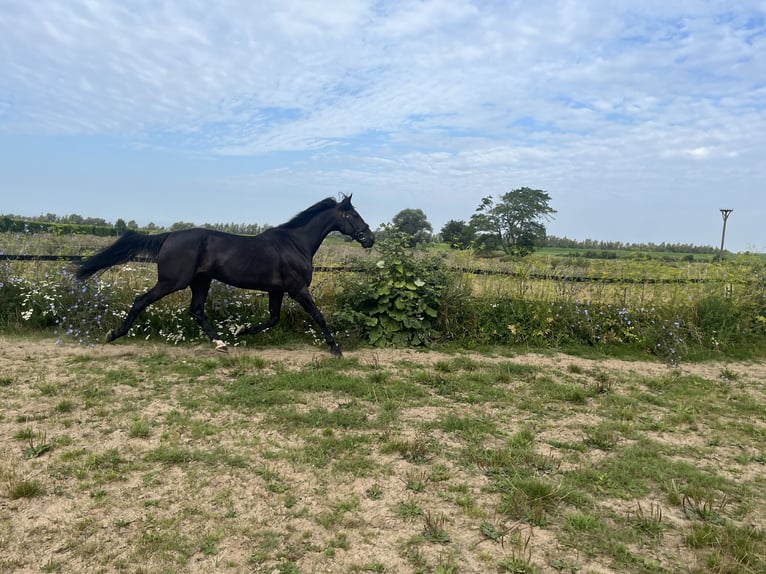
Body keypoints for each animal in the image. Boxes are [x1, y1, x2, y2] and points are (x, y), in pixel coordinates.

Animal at [76, 197, 376, 356]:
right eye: (352, 214)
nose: (370, 238)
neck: (296, 243)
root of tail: (169, 236)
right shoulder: (298, 289)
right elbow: (318, 316)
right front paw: (335, 348)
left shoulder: (277, 291)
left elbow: (272, 319)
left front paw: (239, 330)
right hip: (173, 282)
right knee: (142, 300)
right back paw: (114, 335)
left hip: (201, 281)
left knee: (196, 310)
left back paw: (221, 342)